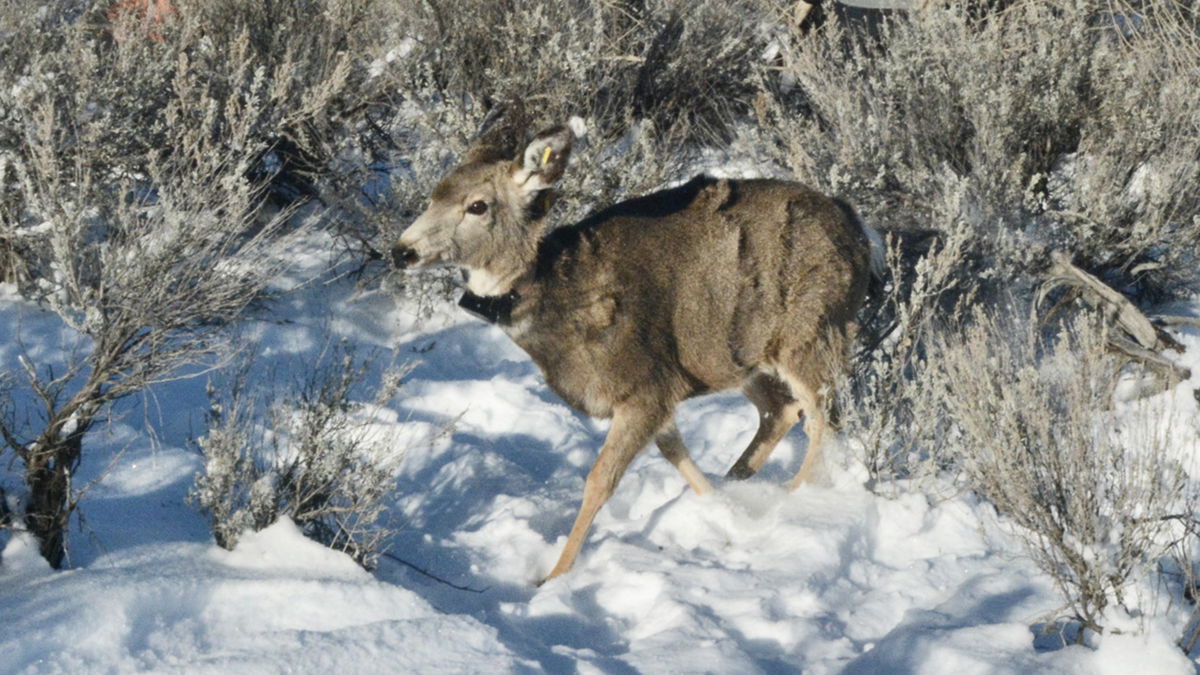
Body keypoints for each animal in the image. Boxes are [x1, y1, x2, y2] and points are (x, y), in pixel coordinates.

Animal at [398, 123, 878, 581]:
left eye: (477, 206)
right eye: (434, 193)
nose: (402, 250)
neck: (554, 298)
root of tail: (856, 226)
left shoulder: (642, 385)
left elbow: (600, 480)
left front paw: (552, 577)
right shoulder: (662, 392)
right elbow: (677, 456)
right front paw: (722, 511)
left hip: (814, 331)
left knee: (823, 420)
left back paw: (795, 501)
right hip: (737, 352)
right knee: (781, 409)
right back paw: (746, 486)